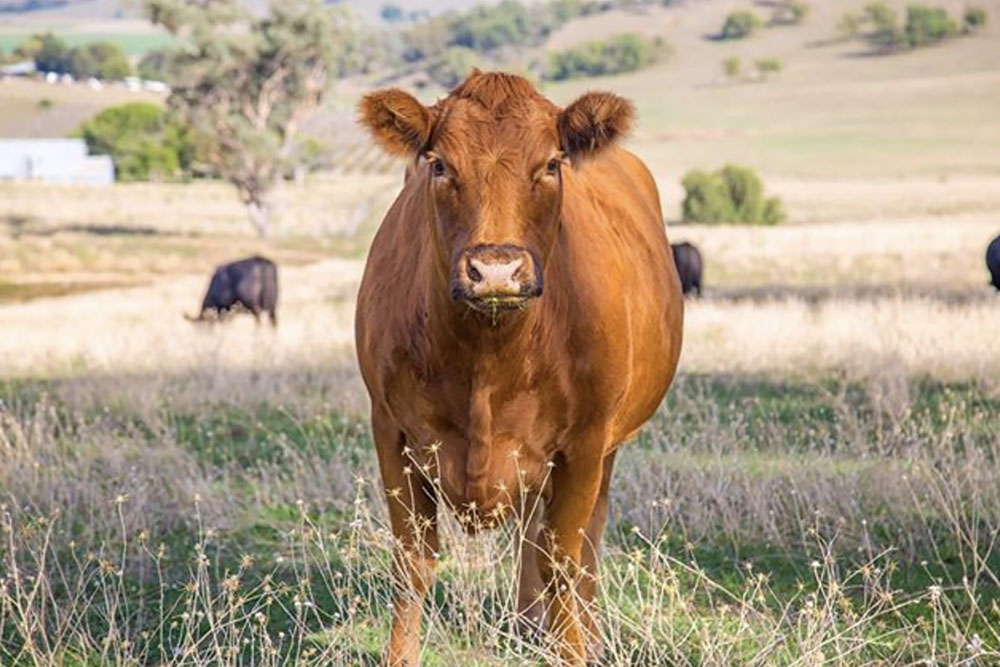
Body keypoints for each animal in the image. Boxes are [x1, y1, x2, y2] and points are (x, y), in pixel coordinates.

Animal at [356, 70, 684, 664]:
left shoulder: (583, 446)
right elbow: (412, 563)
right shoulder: (391, 432)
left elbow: (563, 563)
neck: (488, 359)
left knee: (583, 545)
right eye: (440, 164)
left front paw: (573, 651)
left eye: (551, 164)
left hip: (605, 449)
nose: (496, 269)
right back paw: (530, 625)